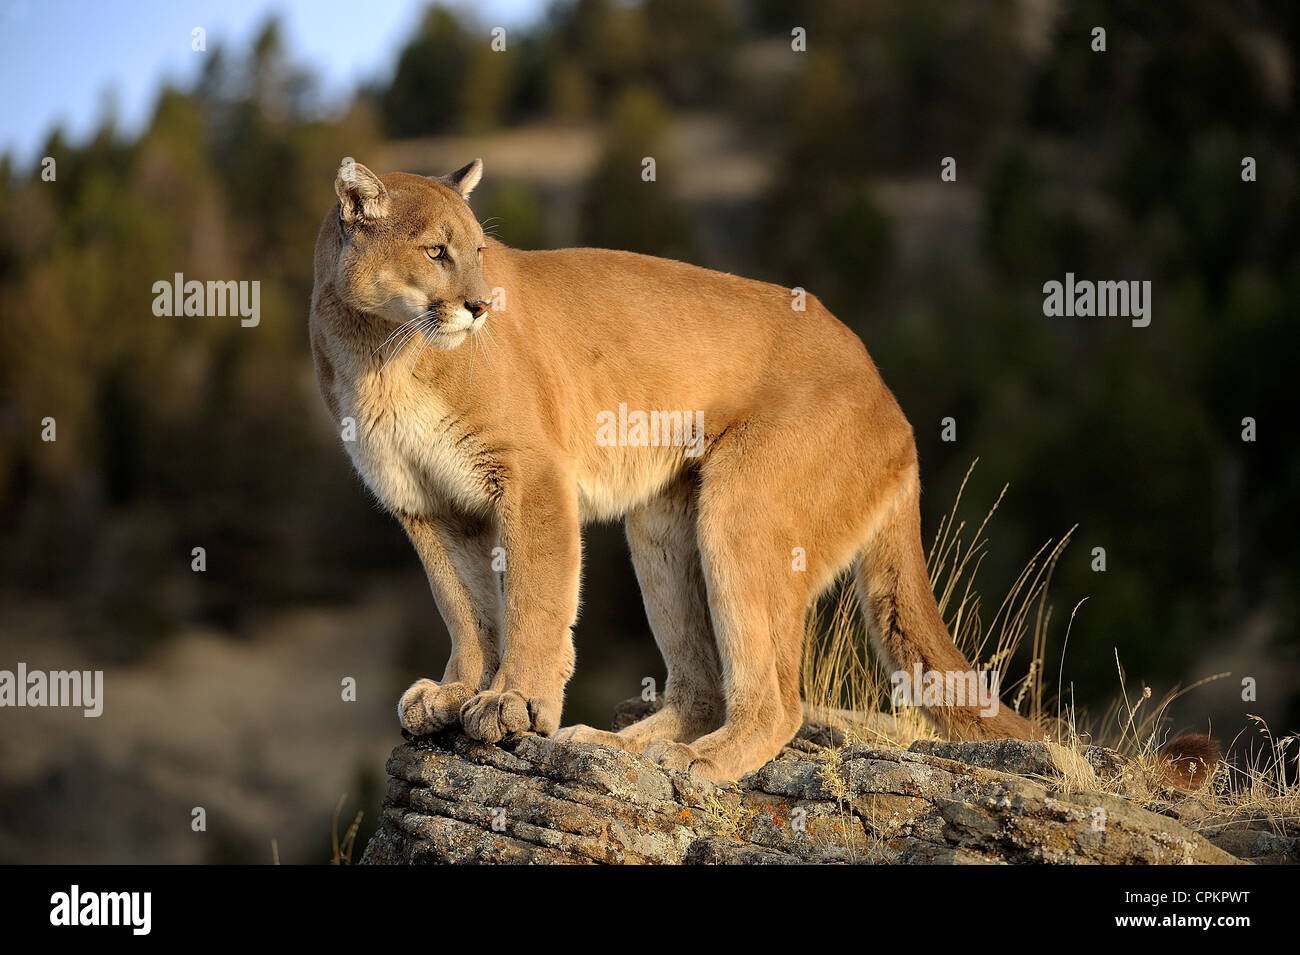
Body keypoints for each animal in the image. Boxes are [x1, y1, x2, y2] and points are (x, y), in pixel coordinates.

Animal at [309, 157, 1044, 784]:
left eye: (479, 252)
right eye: (437, 251)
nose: (482, 306)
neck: (381, 352)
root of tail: (891, 400)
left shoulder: (530, 477)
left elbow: (533, 598)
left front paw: (513, 700)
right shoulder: (427, 505)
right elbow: (465, 609)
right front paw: (457, 690)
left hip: (742, 508)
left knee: (778, 699)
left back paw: (699, 761)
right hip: (661, 525)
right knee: (702, 687)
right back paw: (616, 746)